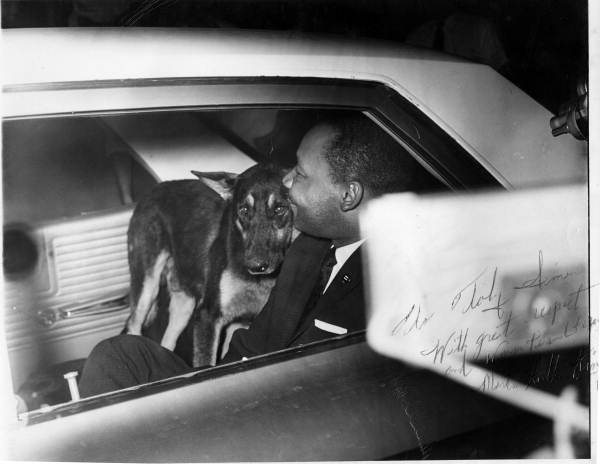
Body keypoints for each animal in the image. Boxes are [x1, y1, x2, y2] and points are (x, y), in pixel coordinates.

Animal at [126, 165, 296, 368]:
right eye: (244, 210)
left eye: (279, 209)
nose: (255, 266)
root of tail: (154, 190)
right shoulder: (209, 315)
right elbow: (206, 362)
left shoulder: (242, 322)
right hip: (147, 289)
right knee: (133, 325)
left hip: (185, 304)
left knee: (167, 340)